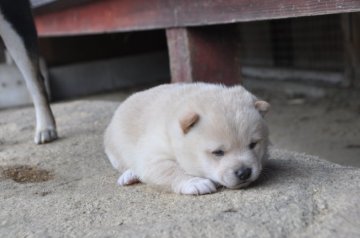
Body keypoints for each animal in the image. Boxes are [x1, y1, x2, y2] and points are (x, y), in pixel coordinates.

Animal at [102, 82, 268, 194]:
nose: (244, 172)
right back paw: (129, 175)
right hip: (114, 147)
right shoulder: (153, 154)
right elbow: (170, 170)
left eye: (253, 144)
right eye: (218, 152)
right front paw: (196, 183)